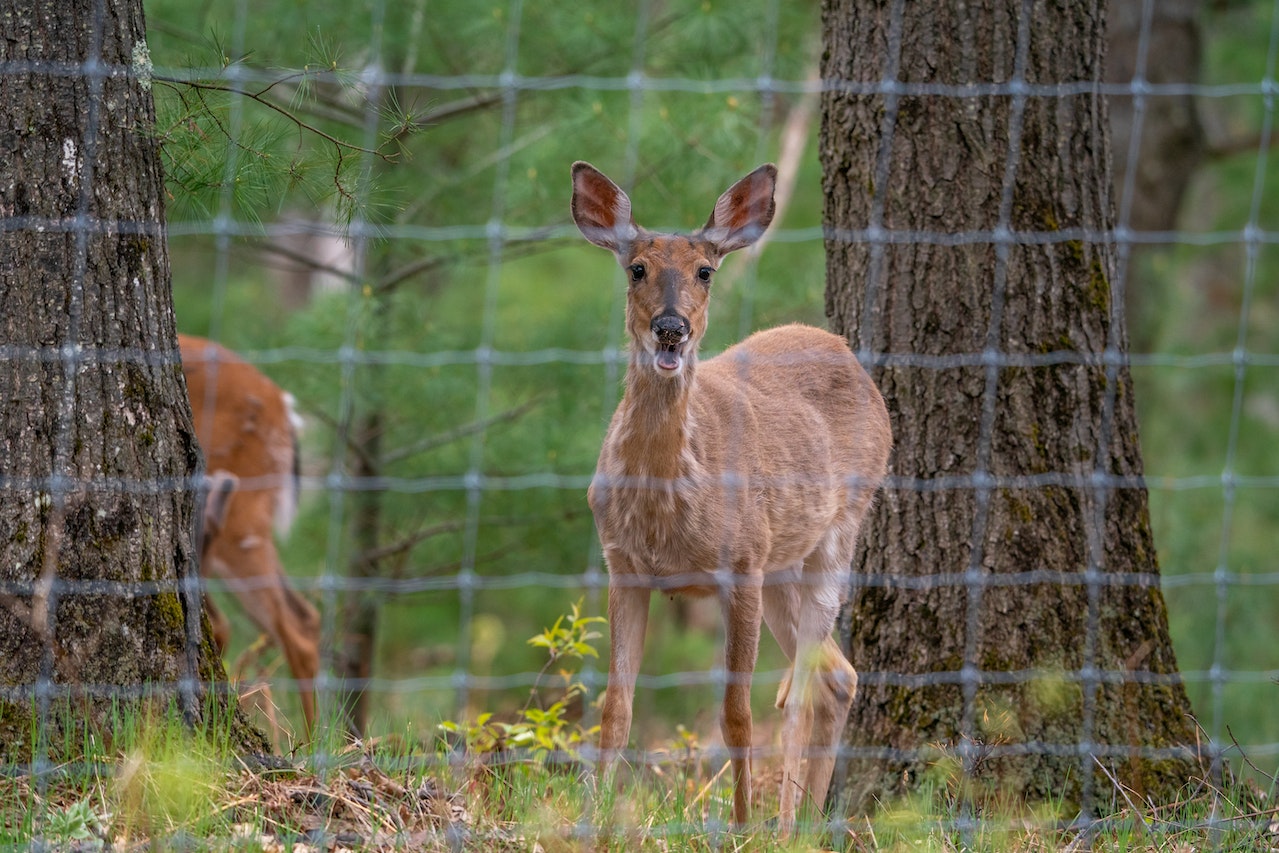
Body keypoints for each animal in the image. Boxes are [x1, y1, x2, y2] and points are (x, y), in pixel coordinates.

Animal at [575, 161, 895, 833]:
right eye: (635, 268)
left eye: (705, 270)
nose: (671, 329)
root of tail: (843, 349)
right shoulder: (624, 567)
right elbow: (616, 707)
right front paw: (596, 820)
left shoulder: (741, 564)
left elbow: (737, 713)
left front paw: (743, 827)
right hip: (783, 565)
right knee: (838, 676)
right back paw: (805, 825)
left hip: (836, 532)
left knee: (802, 689)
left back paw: (784, 827)